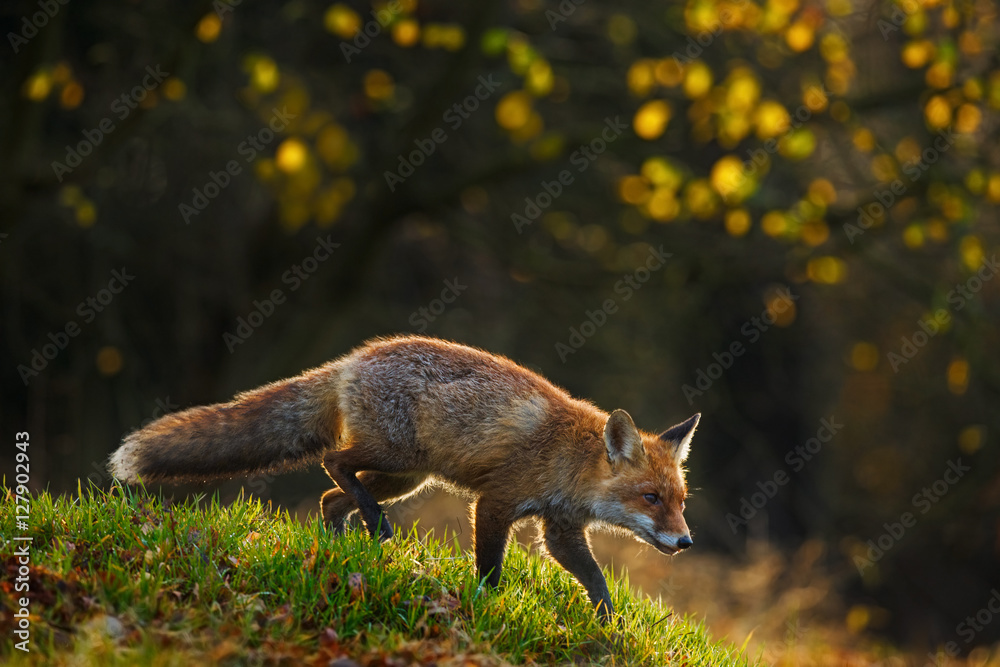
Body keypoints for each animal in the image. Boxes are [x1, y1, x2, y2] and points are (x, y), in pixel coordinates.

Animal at [109, 336, 696, 620]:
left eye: (680, 501)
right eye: (650, 497)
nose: (686, 541)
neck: (568, 460)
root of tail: (352, 359)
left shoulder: (560, 528)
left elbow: (596, 581)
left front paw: (608, 626)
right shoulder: (496, 502)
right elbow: (491, 571)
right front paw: (484, 607)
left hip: (407, 477)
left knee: (330, 497)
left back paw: (344, 546)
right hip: (396, 455)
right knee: (334, 464)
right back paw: (371, 526)